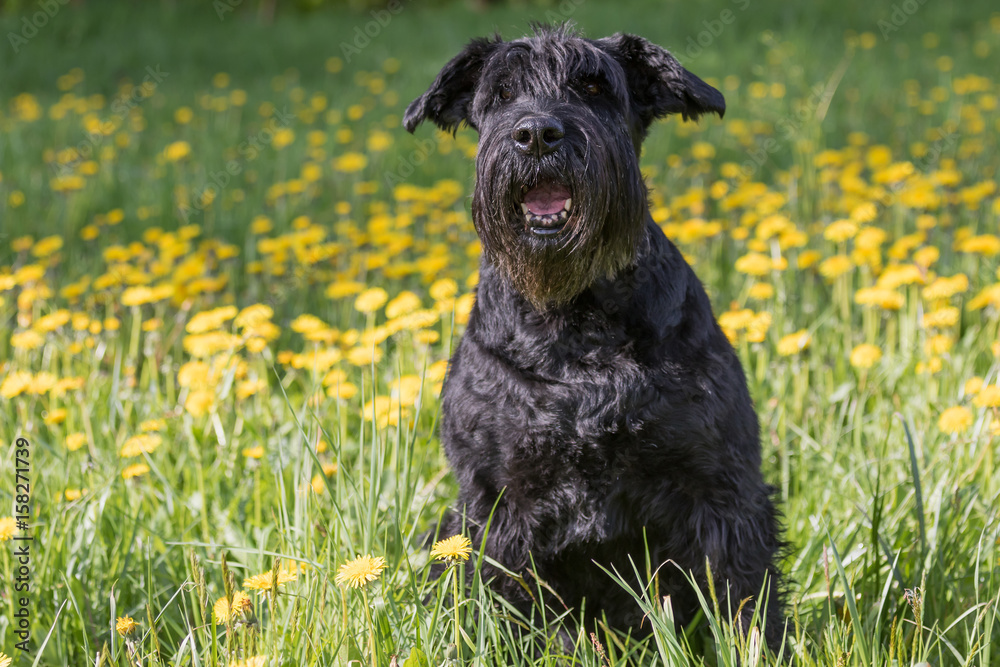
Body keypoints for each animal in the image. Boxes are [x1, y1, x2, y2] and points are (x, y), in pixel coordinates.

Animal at [402, 24, 784, 648]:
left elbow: (743, 596)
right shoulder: (497, 504)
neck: (577, 317)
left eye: (593, 85)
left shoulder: (719, 487)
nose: (536, 134)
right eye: (502, 93)